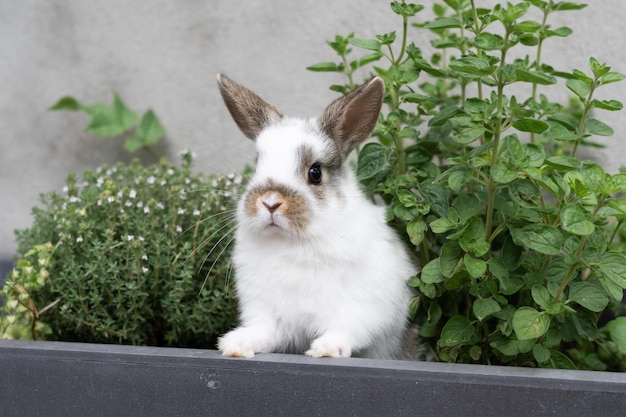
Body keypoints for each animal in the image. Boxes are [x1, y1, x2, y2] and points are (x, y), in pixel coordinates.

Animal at [213, 74, 414, 358]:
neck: (292, 243)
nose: (271, 202)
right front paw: (236, 344)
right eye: (257, 165)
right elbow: (264, 332)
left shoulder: (365, 308)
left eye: (315, 172)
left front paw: (327, 349)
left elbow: (347, 329)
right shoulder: (270, 314)